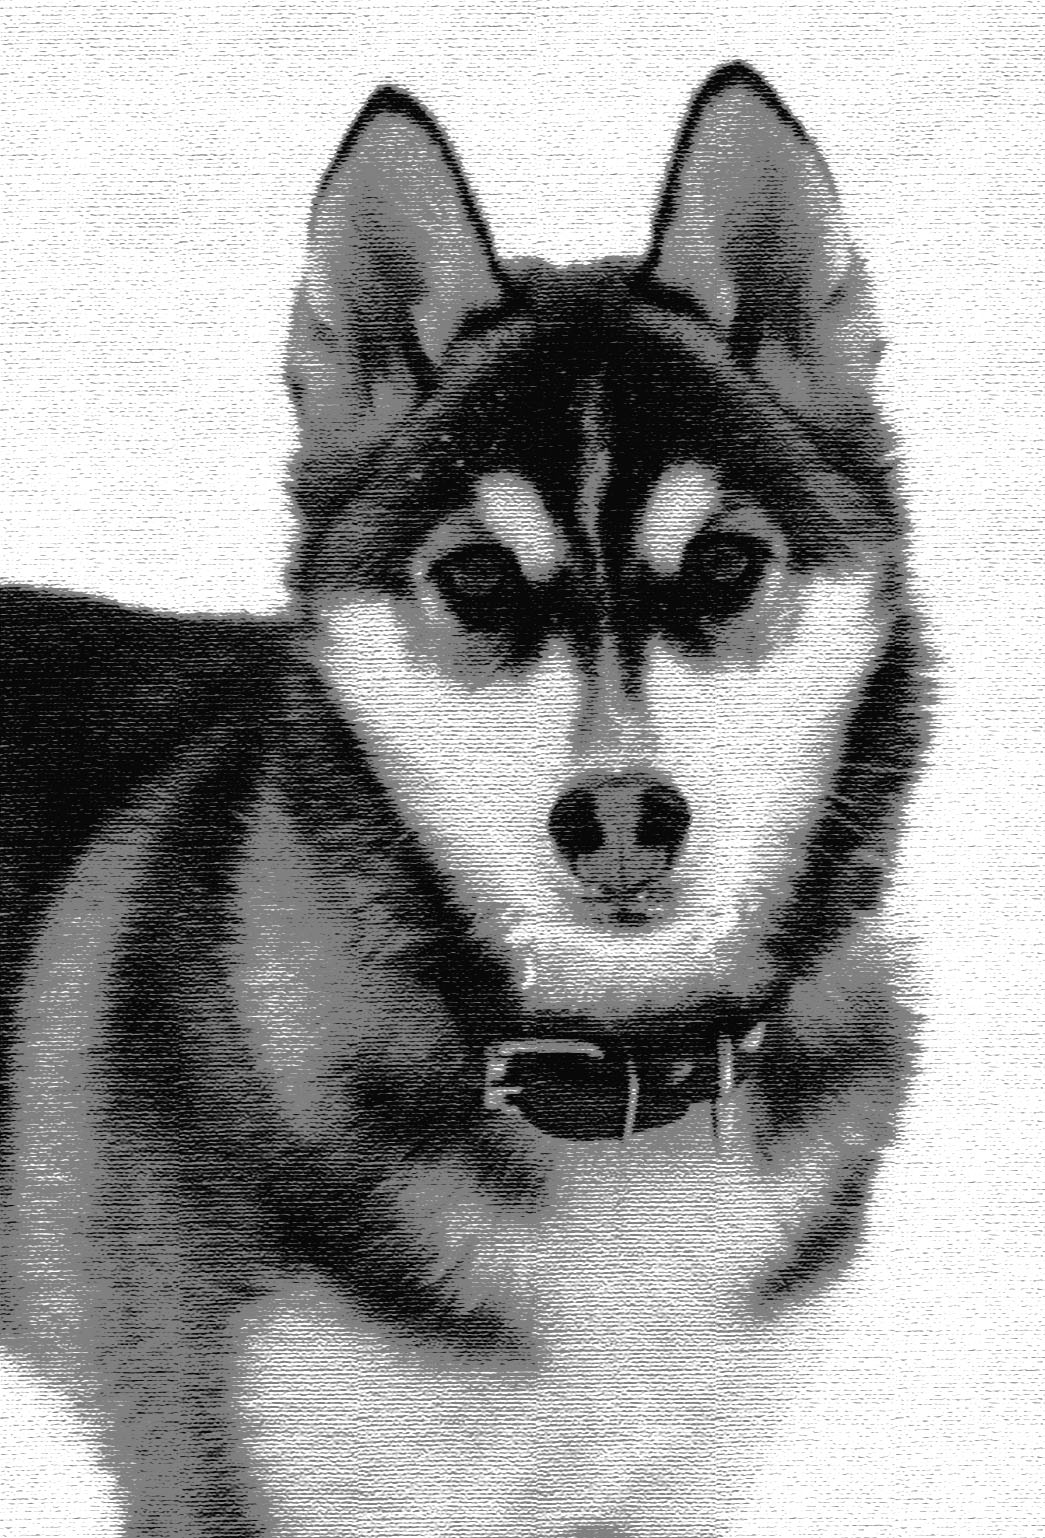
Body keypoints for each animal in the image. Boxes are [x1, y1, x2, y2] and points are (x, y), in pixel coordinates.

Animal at [1, 62, 927, 1536]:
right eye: (479, 578)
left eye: (725, 564)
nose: (620, 814)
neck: (607, 1085)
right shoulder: (247, 1479)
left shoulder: (679, 1481)